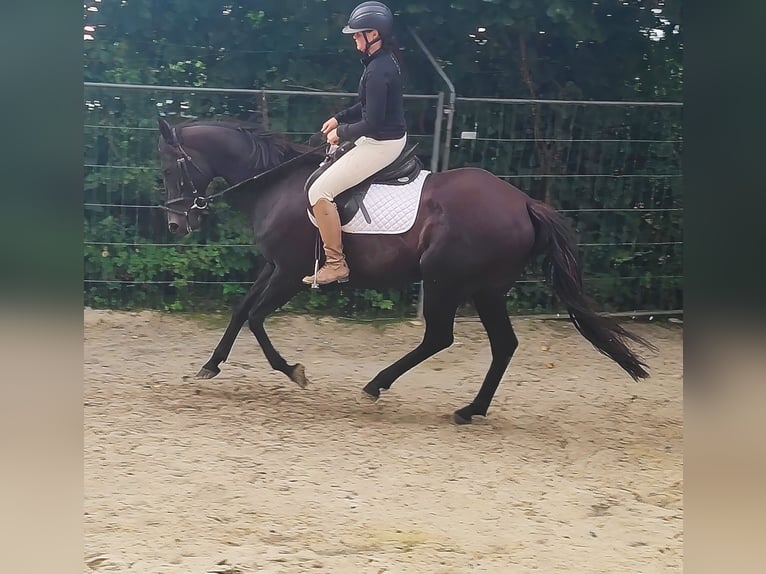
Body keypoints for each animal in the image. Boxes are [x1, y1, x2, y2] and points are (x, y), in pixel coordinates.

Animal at [157, 117, 655, 424]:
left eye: (168, 168)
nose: (176, 223)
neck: (277, 183)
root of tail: (524, 203)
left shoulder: (290, 271)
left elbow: (258, 318)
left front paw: (293, 370)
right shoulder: (275, 266)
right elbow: (242, 310)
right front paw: (210, 366)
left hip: (445, 282)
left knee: (440, 337)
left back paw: (379, 386)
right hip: (486, 290)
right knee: (502, 345)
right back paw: (470, 409)